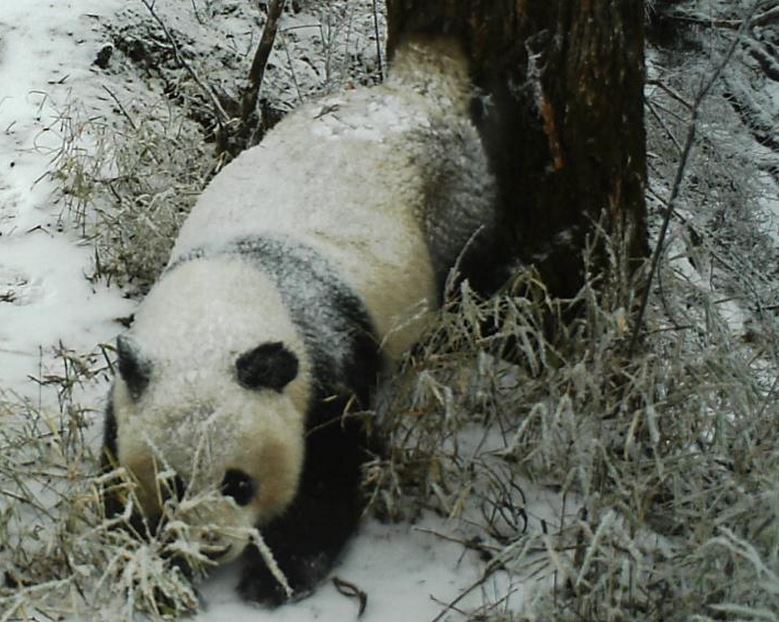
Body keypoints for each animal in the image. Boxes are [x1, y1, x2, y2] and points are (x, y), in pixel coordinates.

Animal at [102, 36, 500, 608]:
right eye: (173, 482)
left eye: (238, 483)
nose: (212, 545)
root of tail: (417, 89)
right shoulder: (133, 380)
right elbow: (117, 486)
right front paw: (159, 570)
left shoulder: (326, 356)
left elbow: (332, 470)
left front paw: (274, 577)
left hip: (457, 207)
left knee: (472, 280)